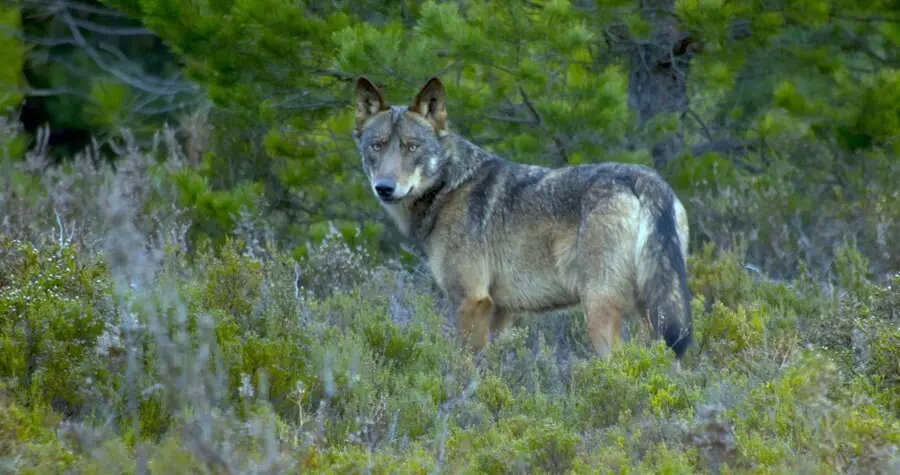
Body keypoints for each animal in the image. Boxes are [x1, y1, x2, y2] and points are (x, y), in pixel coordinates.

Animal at [351, 76, 693, 361]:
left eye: (412, 147)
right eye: (377, 146)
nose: (384, 188)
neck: (449, 187)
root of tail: (645, 178)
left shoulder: (471, 301)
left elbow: (462, 369)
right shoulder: (501, 312)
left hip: (600, 310)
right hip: (653, 315)